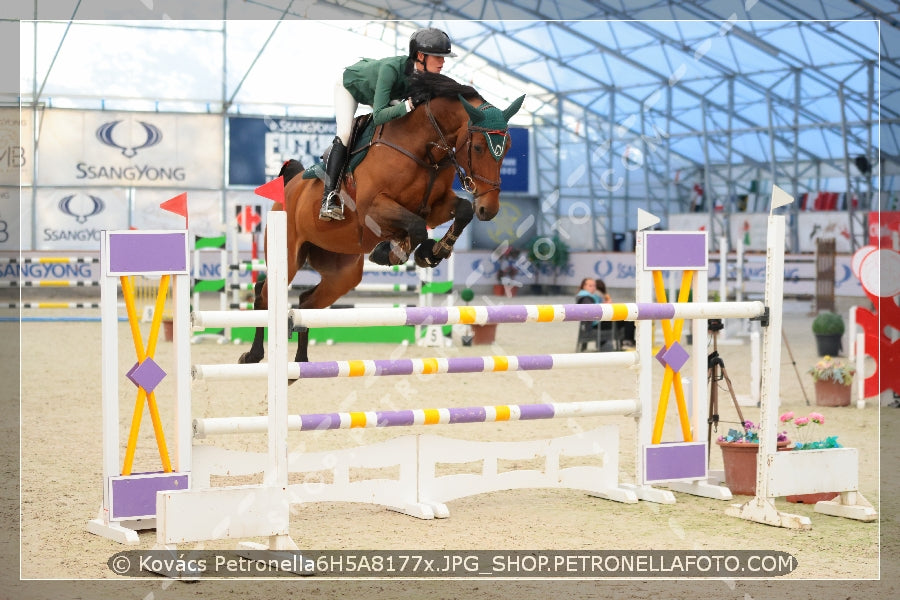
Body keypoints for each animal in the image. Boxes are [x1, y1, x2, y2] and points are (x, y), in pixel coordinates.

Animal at [237, 72, 528, 368]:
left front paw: (432, 252)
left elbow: (462, 211)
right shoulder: (372, 209)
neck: (423, 149)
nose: (489, 209)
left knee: (305, 304)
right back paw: (253, 354)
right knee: (263, 294)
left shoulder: (433, 208)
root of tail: (290, 185)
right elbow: (415, 228)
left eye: (507, 148)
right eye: (478, 147)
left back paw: (301, 362)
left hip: (342, 272)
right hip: (289, 256)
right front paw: (395, 251)